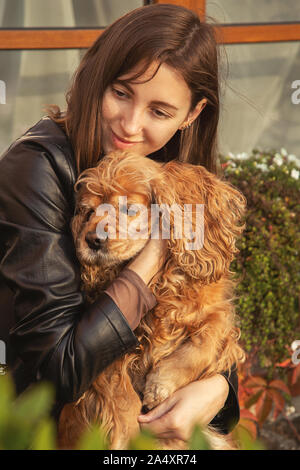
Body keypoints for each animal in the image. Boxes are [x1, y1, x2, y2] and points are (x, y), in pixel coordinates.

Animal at [58, 150, 246, 448]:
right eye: (88, 212)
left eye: (128, 209)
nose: (91, 240)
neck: (162, 283)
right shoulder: (111, 347)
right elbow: (121, 397)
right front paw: (130, 434)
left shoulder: (218, 314)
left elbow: (208, 339)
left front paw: (161, 385)